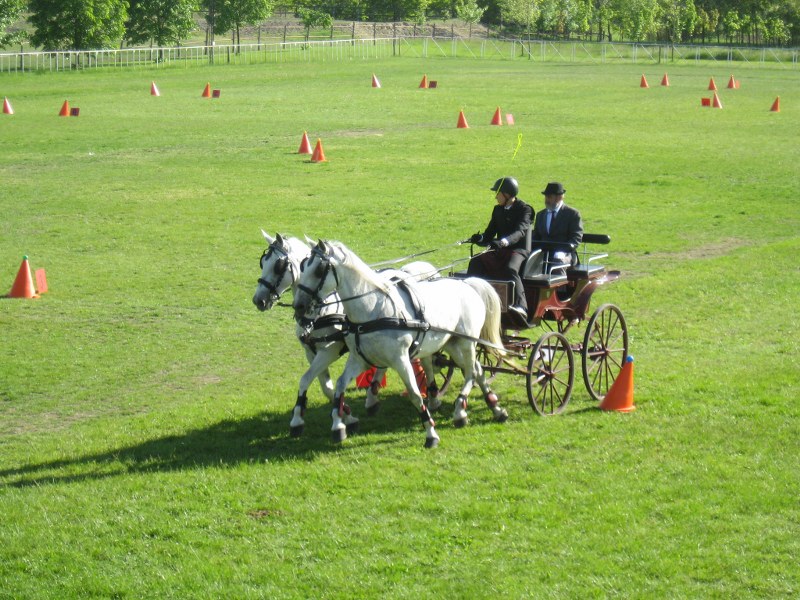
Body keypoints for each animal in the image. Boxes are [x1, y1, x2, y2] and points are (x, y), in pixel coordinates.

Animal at [252, 231, 440, 436]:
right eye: (263, 262)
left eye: (278, 266)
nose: (258, 300)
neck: (320, 311)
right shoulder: (311, 352)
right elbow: (323, 386)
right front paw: (345, 415)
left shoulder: (329, 351)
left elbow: (310, 381)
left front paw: (334, 418)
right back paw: (372, 398)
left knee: (427, 362)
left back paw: (433, 397)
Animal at [292, 241, 506, 448]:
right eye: (302, 266)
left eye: (319, 269)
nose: (299, 306)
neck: (371, 311)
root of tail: (466, 283)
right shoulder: (358, 358)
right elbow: (338, 386)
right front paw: (338, 424)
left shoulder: (399, 359)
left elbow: (415, 394)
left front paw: (431, 433)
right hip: (451, 343)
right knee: (477, 369)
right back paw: (494, 408)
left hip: (467, 342)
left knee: (470, 372)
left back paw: (460, 409)